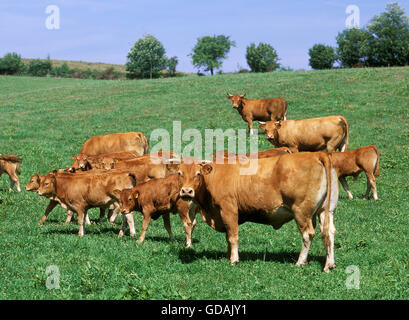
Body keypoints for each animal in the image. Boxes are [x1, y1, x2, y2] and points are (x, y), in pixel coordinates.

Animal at [172, 152, 338, 272]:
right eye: (179, 173)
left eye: (198, 173)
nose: (186, 191)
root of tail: (316, 154)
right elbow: (228, 237)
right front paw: (228, 256)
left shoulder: (229, 210)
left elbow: (232, 236)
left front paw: (234, 259)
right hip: (325, 211)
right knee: (329, 232)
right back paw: (329, 264)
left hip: (301, 212)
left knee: (308, 234)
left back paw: (300, 262)